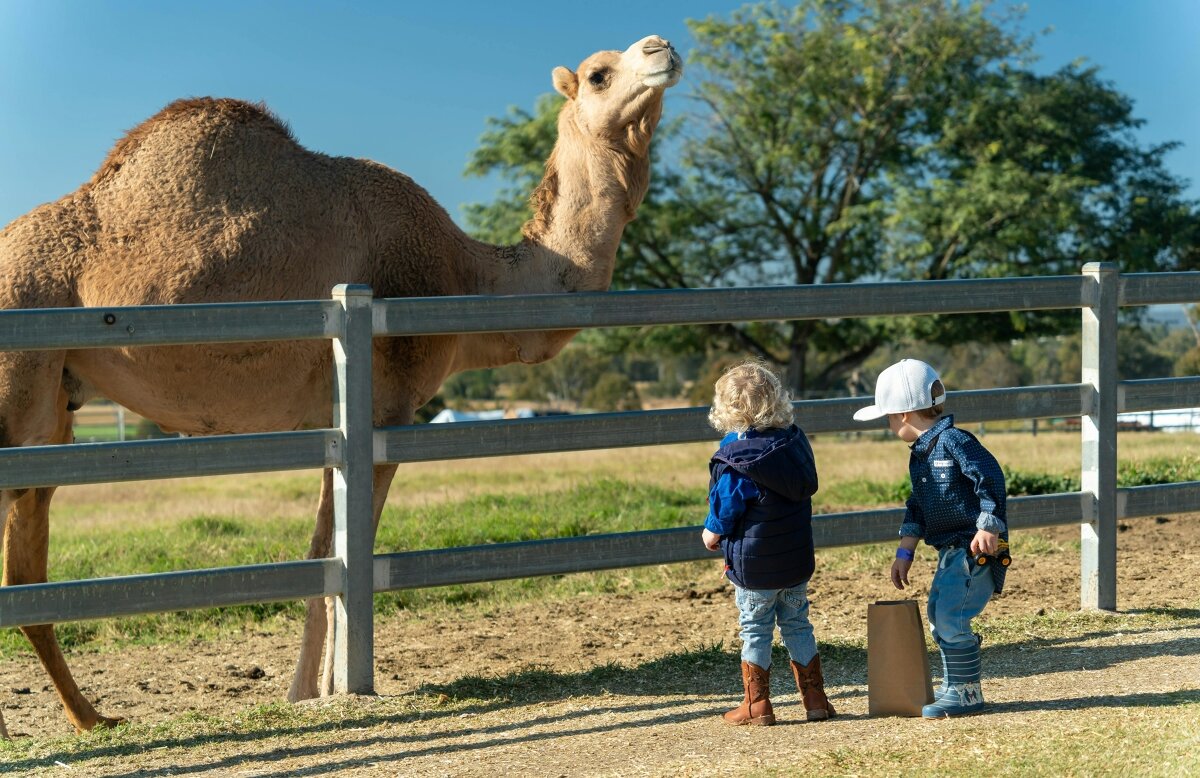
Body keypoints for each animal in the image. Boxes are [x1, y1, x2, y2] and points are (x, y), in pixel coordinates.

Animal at [0, 33, 681, 739]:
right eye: (599, 74)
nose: (663, 47)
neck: (466, 274)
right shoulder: (384, 405)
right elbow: (347, 547)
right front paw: (331, 689)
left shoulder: (335, 417)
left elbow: (324, 547)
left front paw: (306, 692)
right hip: (18, 372)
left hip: (56, 405)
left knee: (27, 554)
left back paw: (90, 717)